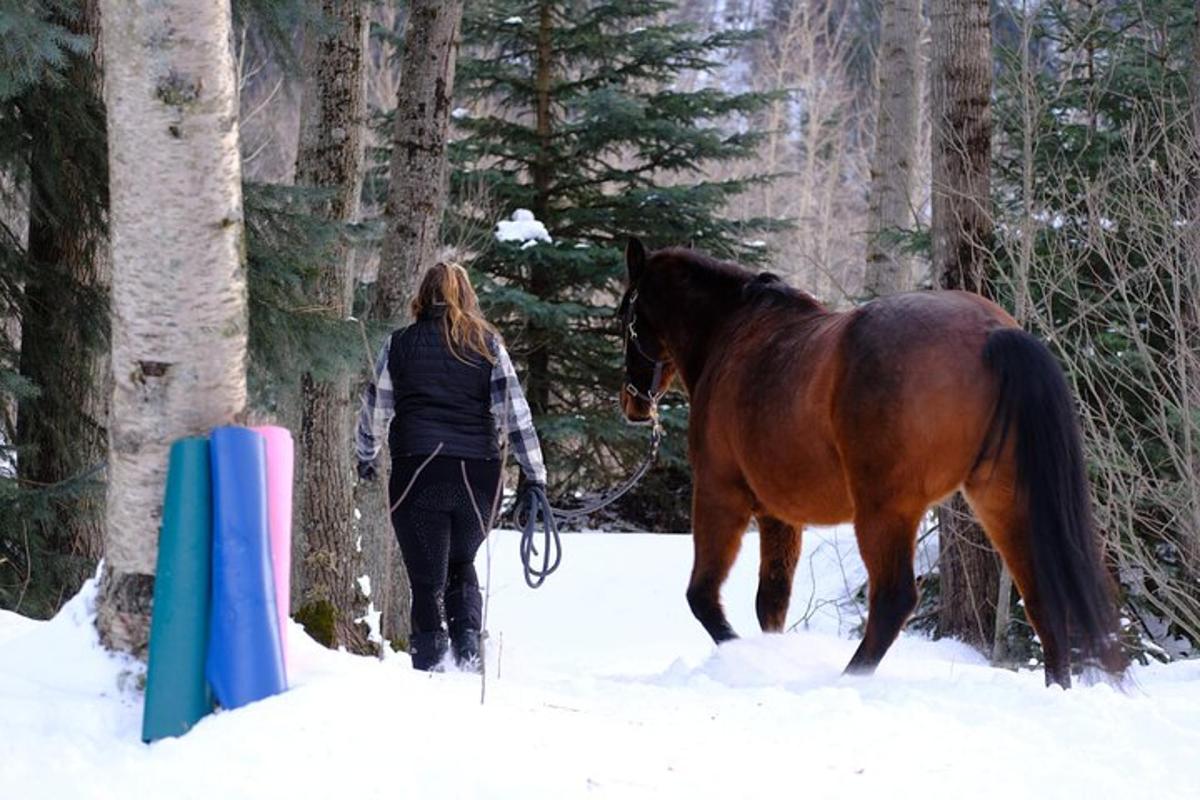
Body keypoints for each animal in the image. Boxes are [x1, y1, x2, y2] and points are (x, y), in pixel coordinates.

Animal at [619, 237, 1123, 690]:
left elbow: (703, 597)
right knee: (1041, 598)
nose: (633, 404)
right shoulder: (781, 517)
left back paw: (849, 679)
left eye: (627, 316)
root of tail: (991, 332)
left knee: (893, 599)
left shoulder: (720, 496)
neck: (736, 333)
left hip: (884, 511)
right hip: (1003, 502)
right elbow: (772, 602)